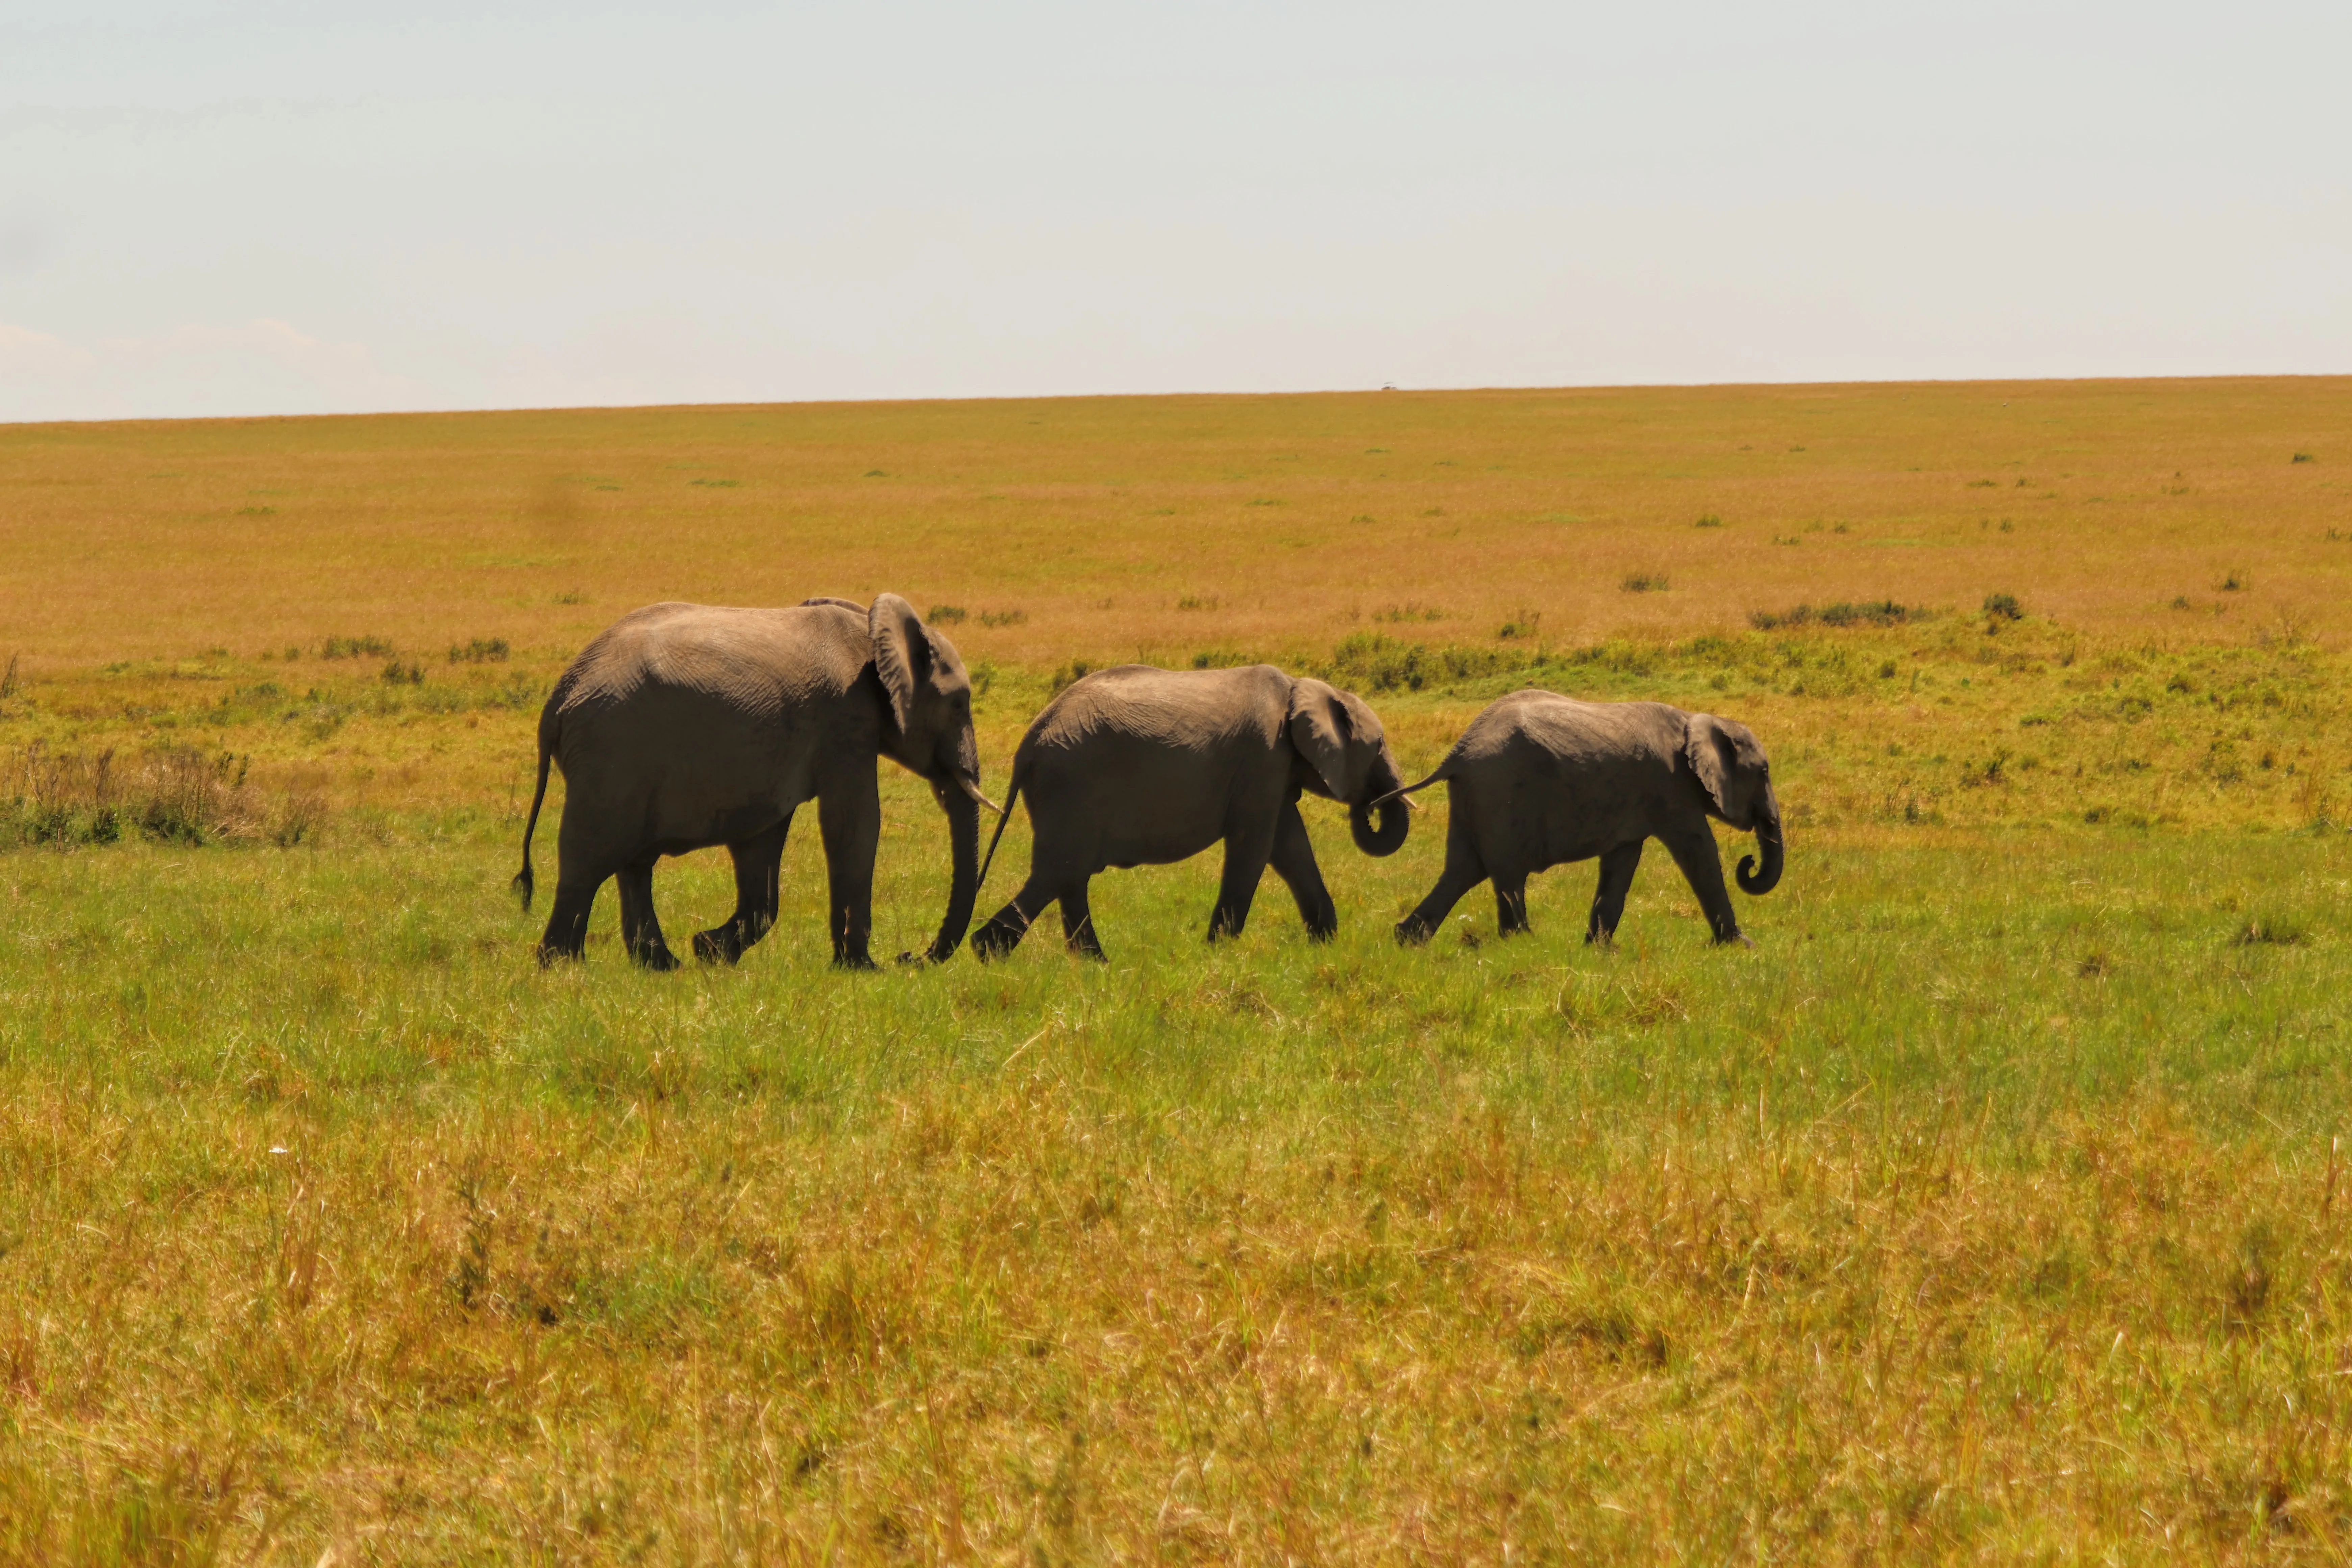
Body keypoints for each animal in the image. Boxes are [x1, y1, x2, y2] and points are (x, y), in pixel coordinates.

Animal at [515, 594, 995, 969]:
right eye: (959, 704)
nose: (910, 956)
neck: (871, 630)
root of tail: (558, 699)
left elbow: (762, 839)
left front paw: (710, 950)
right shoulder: (847, 720)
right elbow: (853, 824)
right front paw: (862, 968)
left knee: (634, 863)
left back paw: (664, 965)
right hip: (610, 754)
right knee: (589, 859)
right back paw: (563, 966)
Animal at [968, 664, 1412, 960]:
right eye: (1379, 747)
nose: (1369, 806)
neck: (1300, 688)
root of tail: (1029, 741)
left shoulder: (1274, 771)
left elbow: (1291, 847)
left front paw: (1325, 945)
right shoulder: (1264, 758)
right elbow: (1255, 847)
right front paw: (1218, 954)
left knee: (1068, 877)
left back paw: (1094, 965)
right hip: (1072, 785)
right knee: (1061, 871)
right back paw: (989, 953)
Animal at [1390, 691, 1782, 947]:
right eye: (1763, 772)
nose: (1748, 862)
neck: (1694, 719)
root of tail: (1458, 751)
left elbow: (1621, 863)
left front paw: (1600, 950)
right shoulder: (1672, 787)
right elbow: (1699, 851)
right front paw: (1742, 946)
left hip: (1474, 797)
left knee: (1463, 870)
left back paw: (1408, 939)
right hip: (1499, 792)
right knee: (1506, 874)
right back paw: (1523, 944)